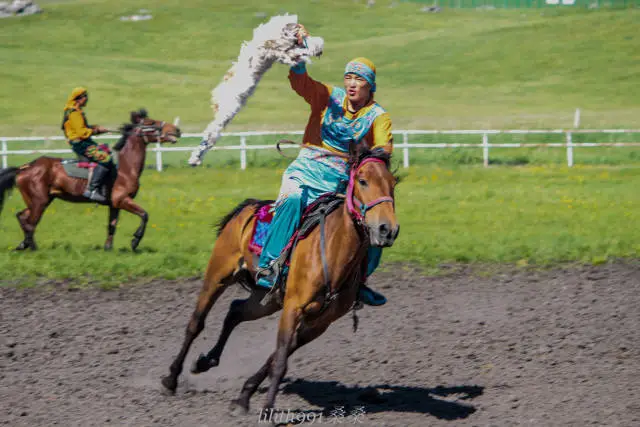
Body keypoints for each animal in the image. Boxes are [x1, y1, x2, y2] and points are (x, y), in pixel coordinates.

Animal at [0, 108, 181, 252]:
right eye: (151, 122)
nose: (177, 130)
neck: (124, 169)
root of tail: (24, 167)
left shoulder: (115, 204)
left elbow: (112, 226)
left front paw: (108, 248)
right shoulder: (122, 200)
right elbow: (144, 215)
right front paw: (135, 241)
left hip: (41, 201)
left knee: (22, 217)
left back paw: (23, 245)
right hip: (40, 201)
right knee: (30, 223)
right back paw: (32, 247)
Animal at [161, 145, 400, 416]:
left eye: (393, 183)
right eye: (362, 180)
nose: (387, 229)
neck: (333, 252)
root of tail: (250, 207)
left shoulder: (319, 322)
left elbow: (278, 356)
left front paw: (244, 397)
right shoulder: (292, 307)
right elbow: (280, 360)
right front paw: (266, 408)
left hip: (267, 299)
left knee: (235, 312)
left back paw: (206, 361)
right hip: (218, 276)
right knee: (196, 323)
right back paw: (171, 379)